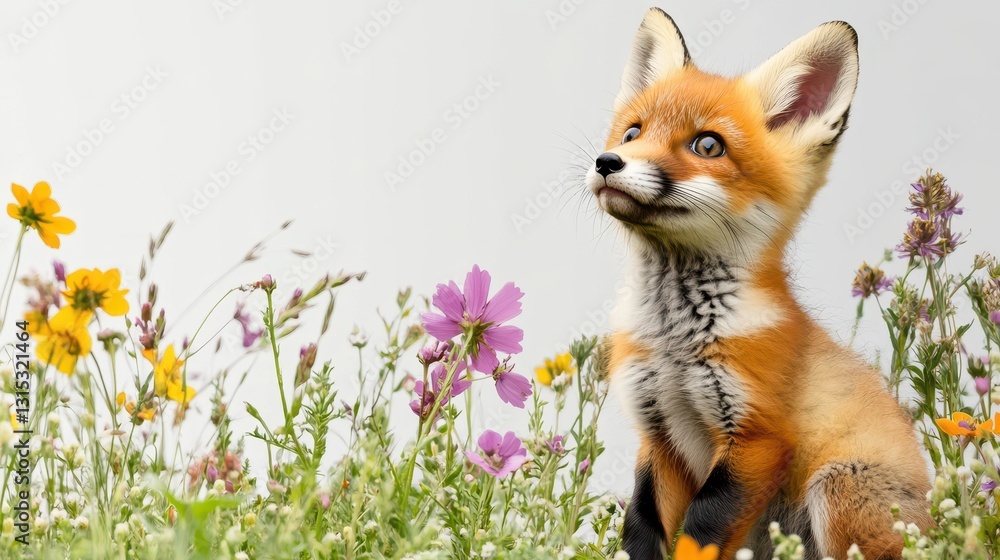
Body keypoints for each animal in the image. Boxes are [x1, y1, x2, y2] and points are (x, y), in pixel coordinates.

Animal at [587, 9, 933, 560]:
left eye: (708, 145)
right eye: (631, 133)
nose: (606, 163)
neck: (673, 344)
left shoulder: (757, 438)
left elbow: (701, 532)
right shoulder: (659, 435)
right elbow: (639, 527)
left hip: (837, 487)